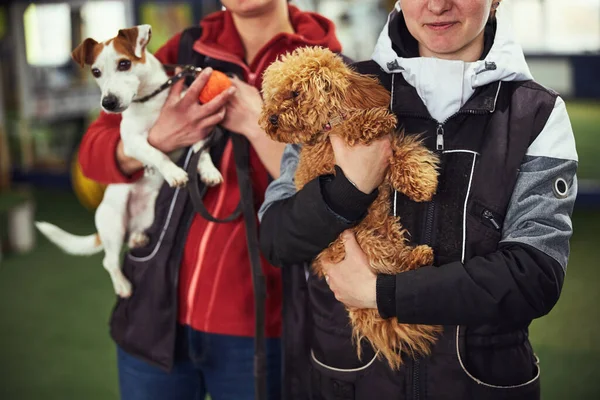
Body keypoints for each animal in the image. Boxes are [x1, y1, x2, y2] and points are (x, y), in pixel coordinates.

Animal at [33, 22, 220, 296]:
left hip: (148, 215)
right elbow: (157, 153)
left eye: (124, 64)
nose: (108, 103)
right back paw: (122, 284)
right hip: (115, 221)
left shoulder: (195, 126)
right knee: (109, 260)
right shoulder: (132, 143)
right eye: (96, 72)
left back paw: (138, 237)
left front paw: (208, 170)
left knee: (132, 236)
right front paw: (173, 172)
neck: (150, 100)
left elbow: (200, 150)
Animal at [260, 46, 442, 368]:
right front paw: (374, 121)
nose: (270, 118)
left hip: (386, 228)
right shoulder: (332, 152)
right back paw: (419, 257)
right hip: (362, 240)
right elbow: (353, 129)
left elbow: (405, 153)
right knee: (390, 269)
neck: (329, 124)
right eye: (271, 95)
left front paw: (422, 182)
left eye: (294, 92)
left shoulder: (389, 152)